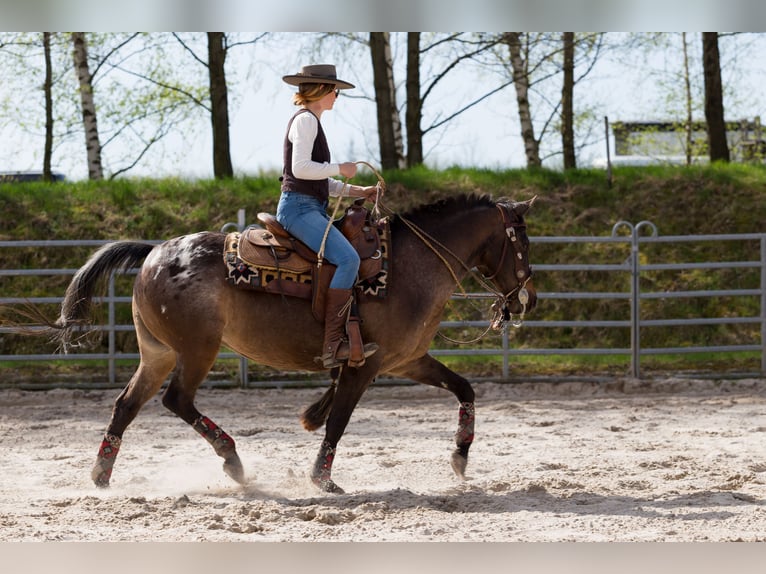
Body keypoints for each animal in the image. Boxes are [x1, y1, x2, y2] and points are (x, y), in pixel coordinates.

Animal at [15, 195, 536, 496]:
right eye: (523, 242)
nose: (526, 298)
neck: (409, 266)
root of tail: (155, 251)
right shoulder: (364, 367)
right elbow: (339, 420)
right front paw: (322, 479)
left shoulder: (406, 360)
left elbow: (464, 388)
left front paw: (461, 456)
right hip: (197, 350)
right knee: (176, 400)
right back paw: (233, 461)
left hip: (158, 353)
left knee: (127, 404)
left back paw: (102, 476)